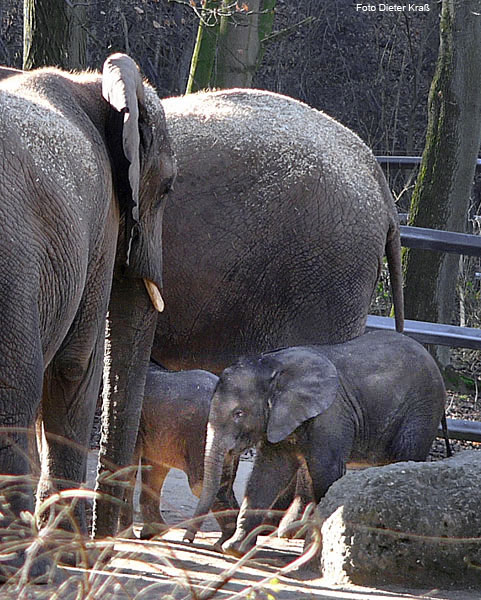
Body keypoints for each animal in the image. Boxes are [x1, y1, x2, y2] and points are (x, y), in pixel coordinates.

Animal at [0, 54, 174, 576]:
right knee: (20, 384)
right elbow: (76, 368)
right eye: (169, 189)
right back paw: (26, 566)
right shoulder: (101, 223)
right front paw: (64, 554)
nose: (109, 550)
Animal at [121, 360, 239, 544]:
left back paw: (223, 542)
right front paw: (153, 533)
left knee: (201, 485)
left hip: (200, 435)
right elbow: (155, 468)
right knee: (224, 484)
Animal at [185, 330, 446, 556]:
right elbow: (267, 474)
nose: (188, 540)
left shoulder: (330, 416)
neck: (272, 366)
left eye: (238, 414)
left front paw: (315, 550)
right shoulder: (279, 421)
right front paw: (234, 549)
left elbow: (325, 473)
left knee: (405, 458)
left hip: (422, 410)